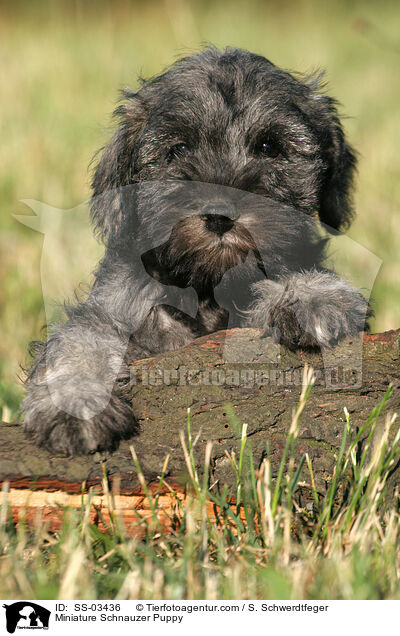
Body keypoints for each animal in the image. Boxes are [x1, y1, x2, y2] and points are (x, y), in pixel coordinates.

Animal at [21, 48, 370, 458]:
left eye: (269, 147)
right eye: (180, 149)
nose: (220, 215)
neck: (205, 285)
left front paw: (314, 296)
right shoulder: (115, 312)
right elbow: (81, 339)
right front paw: (75, 404)